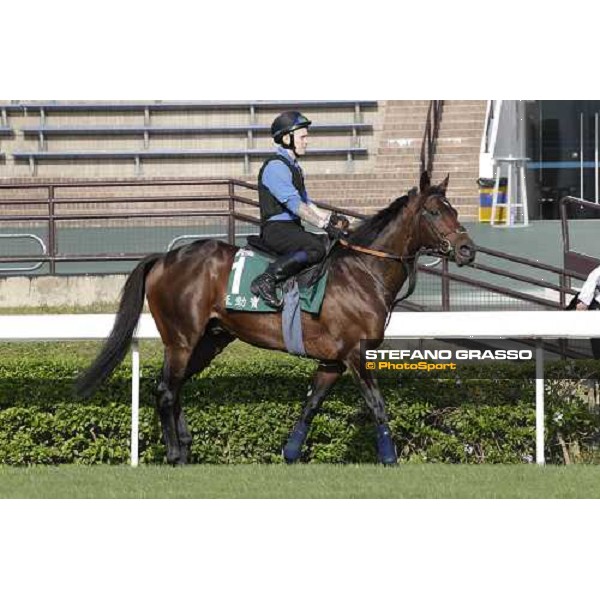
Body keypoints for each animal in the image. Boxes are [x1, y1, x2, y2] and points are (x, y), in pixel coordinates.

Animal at [77, 171, 476, 466]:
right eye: (434, 212)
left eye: (454, 209)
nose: (466, 249)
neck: (363, 272)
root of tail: (163, 258)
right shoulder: (355, 354)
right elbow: (376, 405)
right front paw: (390, 458)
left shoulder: (332, 361)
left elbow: (310, 406)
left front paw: (290, 453)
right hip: (181, 338)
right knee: (165, 390)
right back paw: (175, 453)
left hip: (210, 340)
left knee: (176, 388)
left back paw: (186, 448)